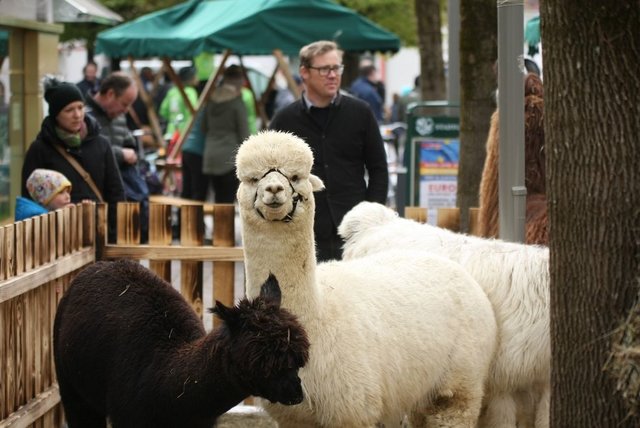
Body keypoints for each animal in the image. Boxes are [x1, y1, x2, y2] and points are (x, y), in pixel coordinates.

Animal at [235, 130, 497, 428]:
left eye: (296, 176)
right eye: (252, 179)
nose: (274, 190)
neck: (319, 317)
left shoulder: (353, 410)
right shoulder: (294, 418)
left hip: (462, 381)